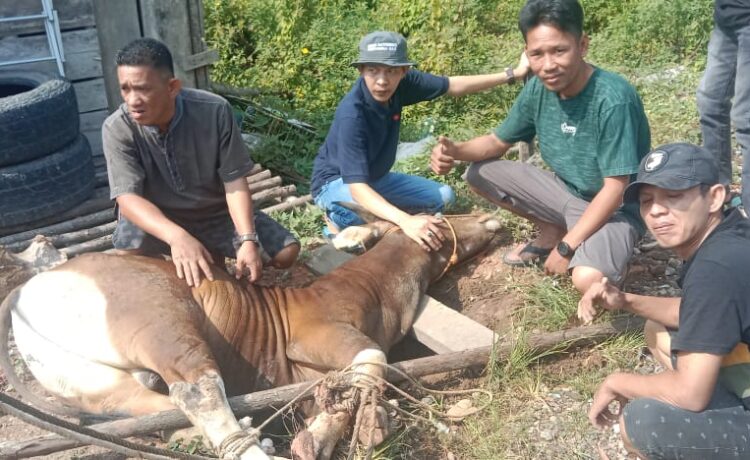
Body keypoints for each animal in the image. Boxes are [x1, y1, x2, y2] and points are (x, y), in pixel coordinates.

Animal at [2, 214, 502, 458]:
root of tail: (27, 289)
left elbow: (338, 392)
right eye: (442, 217)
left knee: (155, 408)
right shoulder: (314, 335)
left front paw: (331, 430)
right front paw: (345, 430)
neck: (378, 288)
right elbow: (372, 359)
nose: (490, 219)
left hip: (97, 384)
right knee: (199, 391)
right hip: (161, 318)